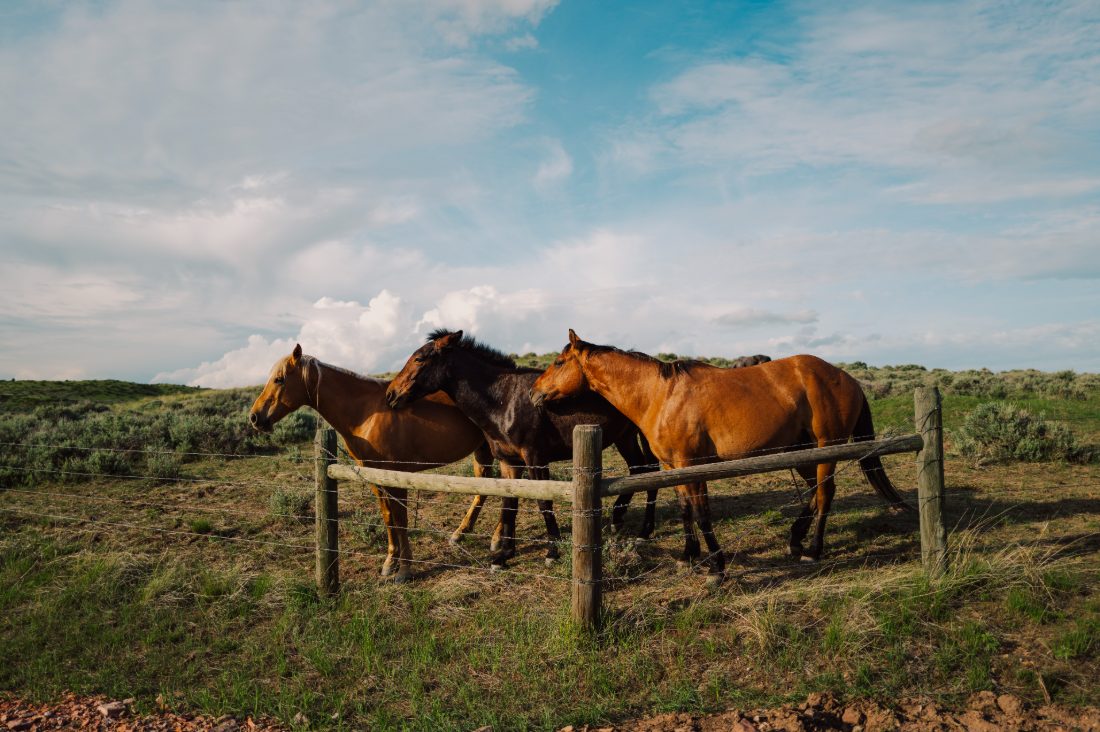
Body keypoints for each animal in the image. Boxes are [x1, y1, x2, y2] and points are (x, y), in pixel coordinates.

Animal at [248, 344, 497, 582]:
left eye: (279, 379)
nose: (254, 417)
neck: (366, 413)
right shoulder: (374, 476)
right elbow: (388, 518)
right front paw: (390, 562)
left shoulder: (396, 477)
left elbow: (401, 519)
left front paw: (405, 569)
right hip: (483, 451)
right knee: (485, 489)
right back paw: (460, 533)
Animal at [385, 329, 660, 568]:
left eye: (419, 358)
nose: (390, 394)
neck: (503, 400)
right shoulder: (509, 462)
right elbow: (509, 505)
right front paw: (504, 554)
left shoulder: (535, 458)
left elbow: (543, 502)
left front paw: (551, 551)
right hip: (625, 437)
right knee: (640, 469)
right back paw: (619, 519)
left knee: (649, 471)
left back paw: (643, 529)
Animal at [530, 330, 909, 584]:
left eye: (559, 362)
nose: (534, 393)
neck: (660, 395)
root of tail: (847, 378)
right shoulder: (673, 467)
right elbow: (686, 511)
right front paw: (688, 557)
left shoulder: (690, 465)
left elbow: (701, 513)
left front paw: (716, 565)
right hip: (801, 452)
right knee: (815, 493)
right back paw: (795, 539)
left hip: (826, 449)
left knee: (826, 494)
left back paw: (813, 549)